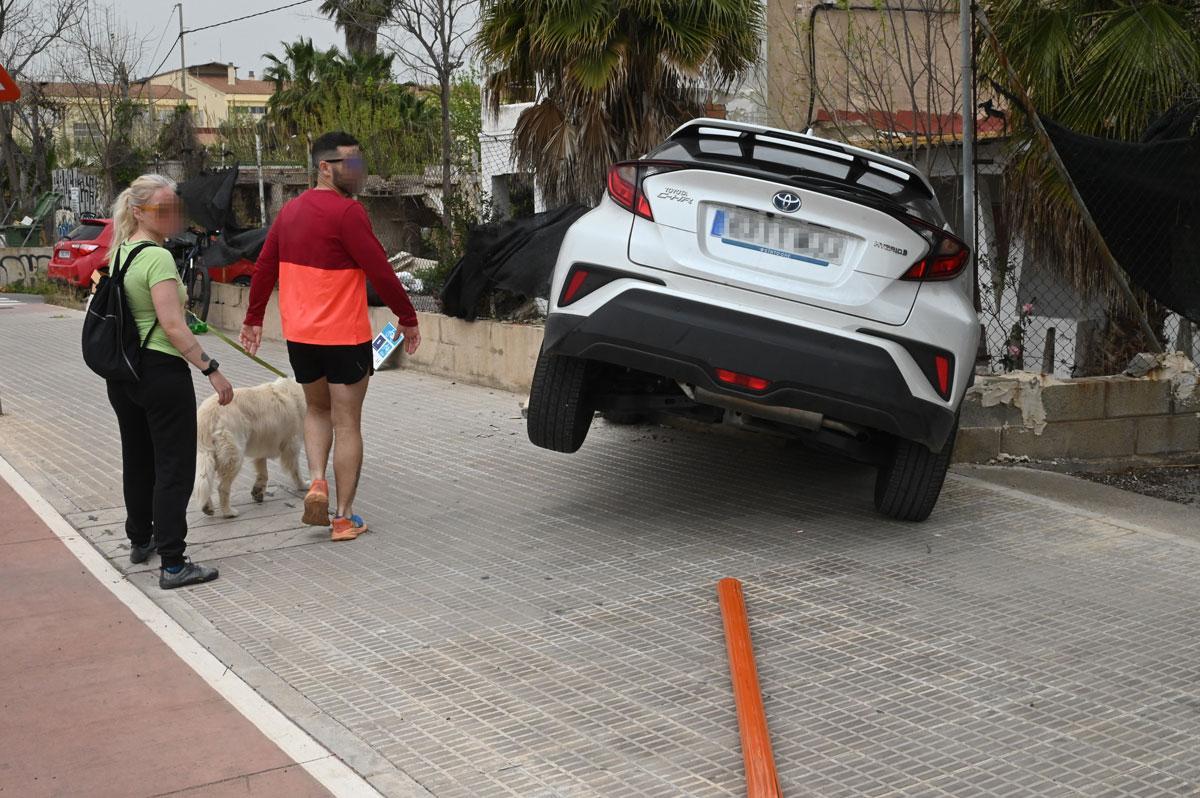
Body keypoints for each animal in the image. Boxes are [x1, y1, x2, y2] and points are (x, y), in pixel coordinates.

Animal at [194, 379, 307, 516]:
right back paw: (229, 512)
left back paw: (207, 506)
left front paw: (258, 491)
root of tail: (206, 416)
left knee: (203, 480)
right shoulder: (292, 444)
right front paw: (303, 485)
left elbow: (263, 471)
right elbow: (296, 470)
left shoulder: (262, 445)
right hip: (234, 455)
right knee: (222, 487)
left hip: (209, 454)